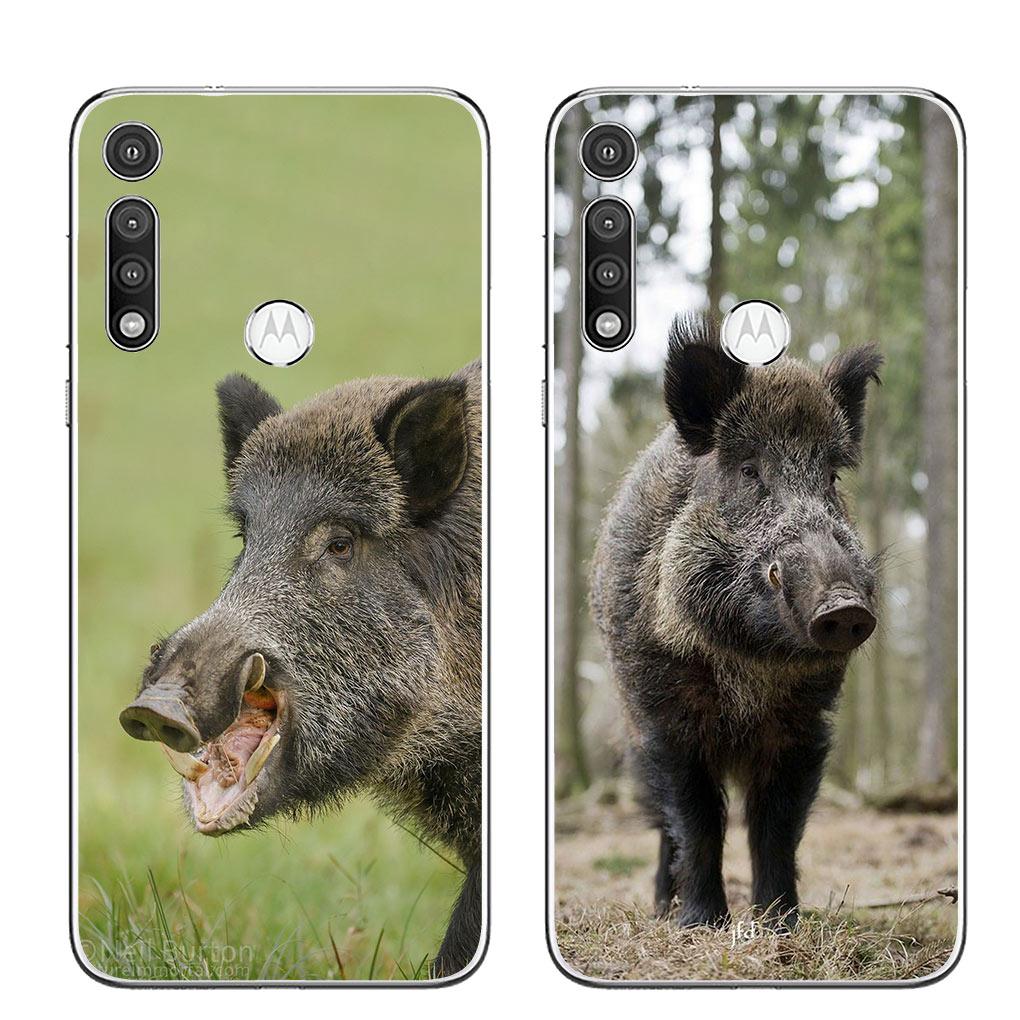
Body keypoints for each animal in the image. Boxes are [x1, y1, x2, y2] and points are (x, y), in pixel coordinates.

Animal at [590, 315, 881, 930]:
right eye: (749, 471)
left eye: (831, 478)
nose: (844, 606)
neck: (749, 666)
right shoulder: (665, 716)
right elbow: (697, 820)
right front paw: (701, 924)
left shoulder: (804, 723)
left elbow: (777, 825)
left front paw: (780, 923)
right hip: (631, 736)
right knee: (663, 826)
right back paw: (661, 909)